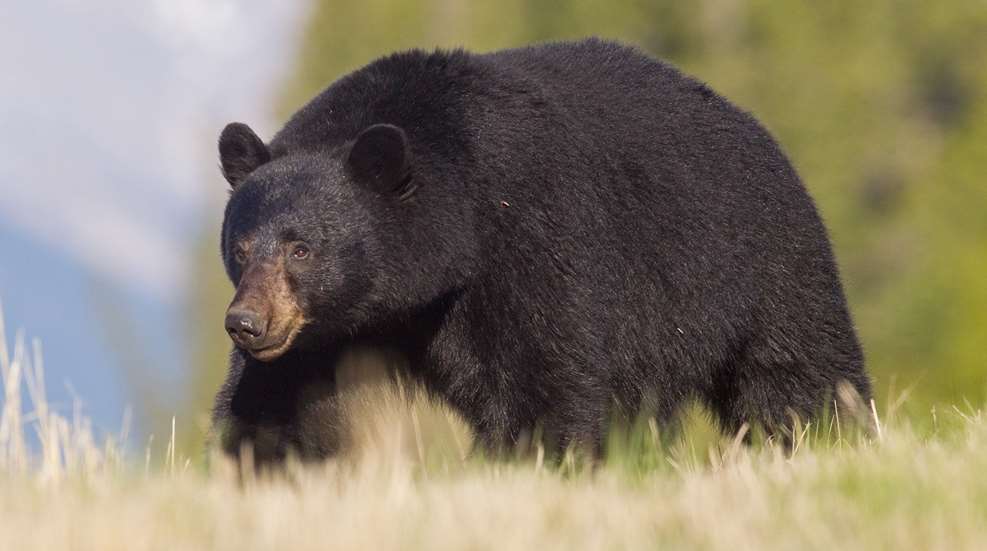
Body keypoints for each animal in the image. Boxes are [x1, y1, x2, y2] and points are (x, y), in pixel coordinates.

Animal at [210, 38, 871, 464]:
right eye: (240, 247)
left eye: (301, 249)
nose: (245, 322)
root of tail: (755, 128)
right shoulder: (324, 333)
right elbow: (274, 402)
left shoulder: (527, 239)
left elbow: (541, 378)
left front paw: (524, 461)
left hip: (761, 263)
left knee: (796, 369)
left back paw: (827, 438)